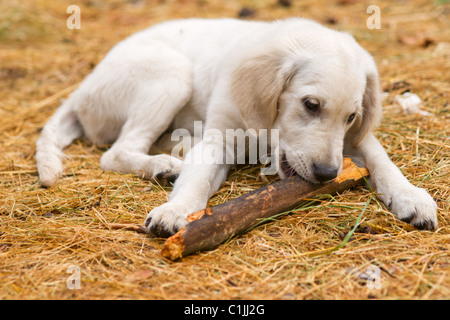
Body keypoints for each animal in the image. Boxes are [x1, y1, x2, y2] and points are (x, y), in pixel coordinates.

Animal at [37, 17, 438, 234]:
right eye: (310, 105)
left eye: (352, 117)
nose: (327, 174)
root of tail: (82, 88)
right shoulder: (218, 139)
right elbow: (197, 180)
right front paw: (177, 210)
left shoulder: (355, 139)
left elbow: (380, 157)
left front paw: (410, 195)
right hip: (171, 73)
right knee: (116, 152)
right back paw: (163, 164)